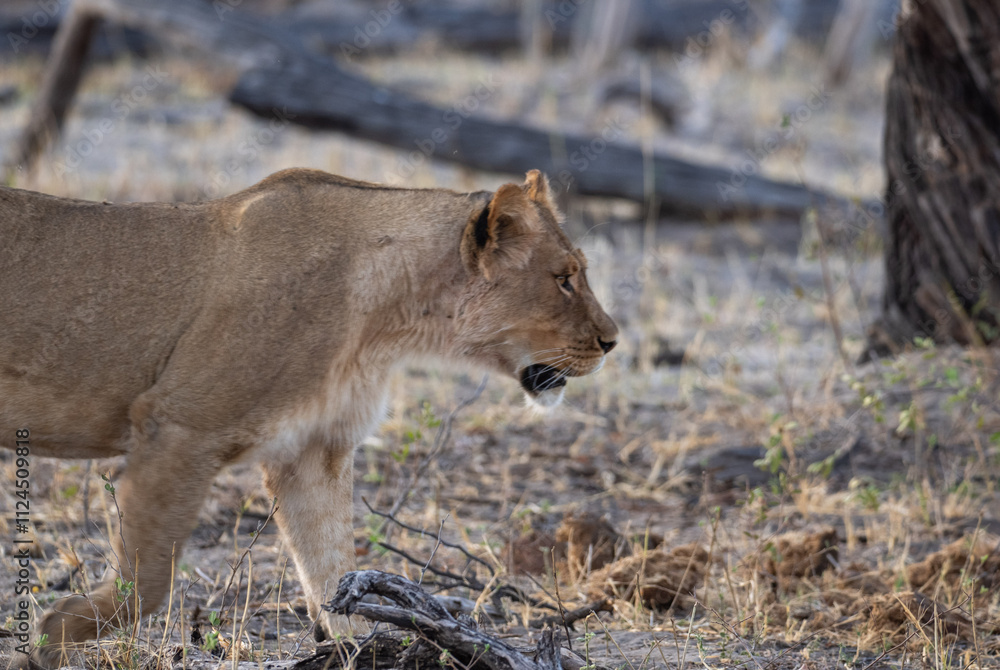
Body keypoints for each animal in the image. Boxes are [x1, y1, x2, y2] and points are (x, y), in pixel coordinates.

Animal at [0, 168, 617, 667]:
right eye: (565, 278)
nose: (612, 342)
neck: (388, 320)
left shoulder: (313, 451)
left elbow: (331, 566)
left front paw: (355, 650)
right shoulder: (177, 426)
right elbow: (148, 582)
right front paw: (52, 637)